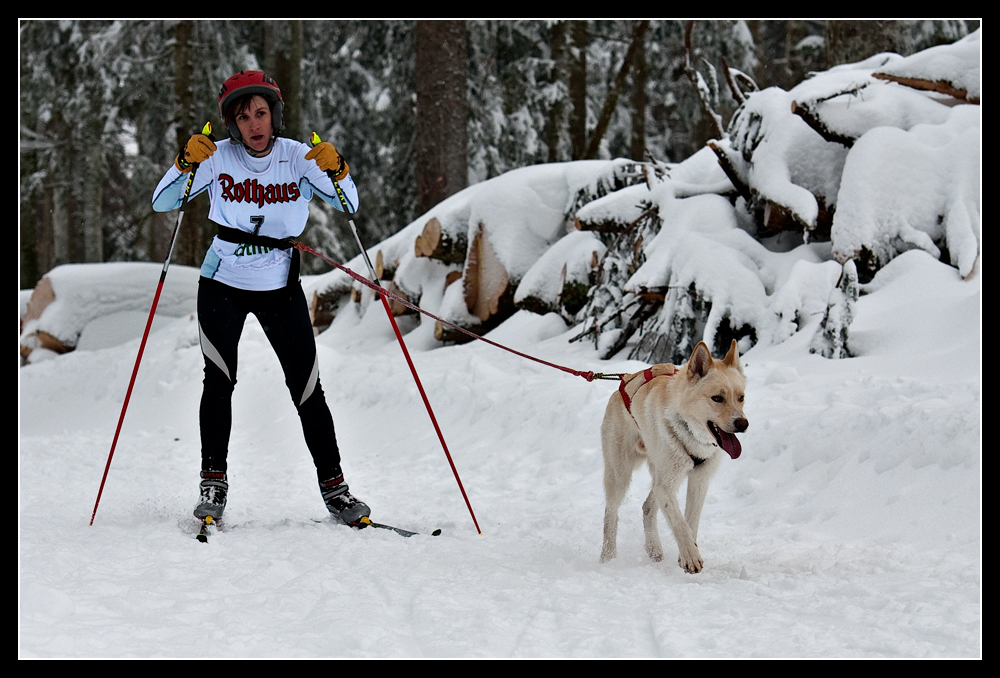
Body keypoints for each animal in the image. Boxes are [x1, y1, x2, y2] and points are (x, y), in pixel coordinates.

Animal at [596, 340, 748, 572]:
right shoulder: (666, 485)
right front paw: (690, 557)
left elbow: (690, 521)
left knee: (647, 507)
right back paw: (608, 556)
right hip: (621, 474)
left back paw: (654, 550)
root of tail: (624, 380)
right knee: (610, 513)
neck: (688, 431)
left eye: (741, 398)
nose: (743, 423)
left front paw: (688, 551)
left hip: (660, 474)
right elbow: (679, 522)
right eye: (717, 398)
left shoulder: (698, 480)